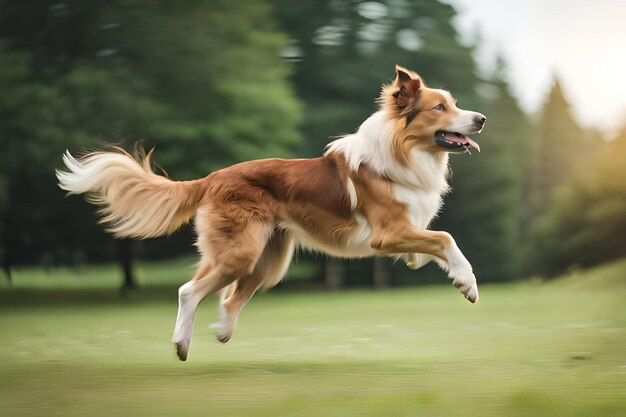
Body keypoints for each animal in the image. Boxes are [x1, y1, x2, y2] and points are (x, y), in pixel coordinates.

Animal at [57, 66, 482, 360]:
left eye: (454, 103)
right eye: (439, 107)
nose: (481, 119)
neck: (405, 150)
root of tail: (211, 178)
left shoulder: (406, 231)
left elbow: (426, 247)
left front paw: (436, 269)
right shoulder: (387, 233)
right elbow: (445, 238)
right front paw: (466, 283)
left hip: (266, 260)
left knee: (228, 298)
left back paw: (221, 330)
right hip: (241, 253)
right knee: (189, 290)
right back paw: (182, 342)